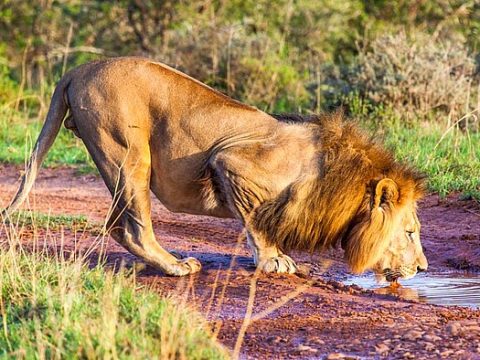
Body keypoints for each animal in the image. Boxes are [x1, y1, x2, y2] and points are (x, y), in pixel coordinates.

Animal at [0, 57, 428, 282]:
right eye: (409, 232)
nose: (424, 268)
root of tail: (80, 68)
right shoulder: (230, 162)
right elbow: (256, 220)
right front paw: (274, 260)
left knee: (120, 225)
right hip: (128, 151)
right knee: (129, 227)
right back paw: (176, 266)